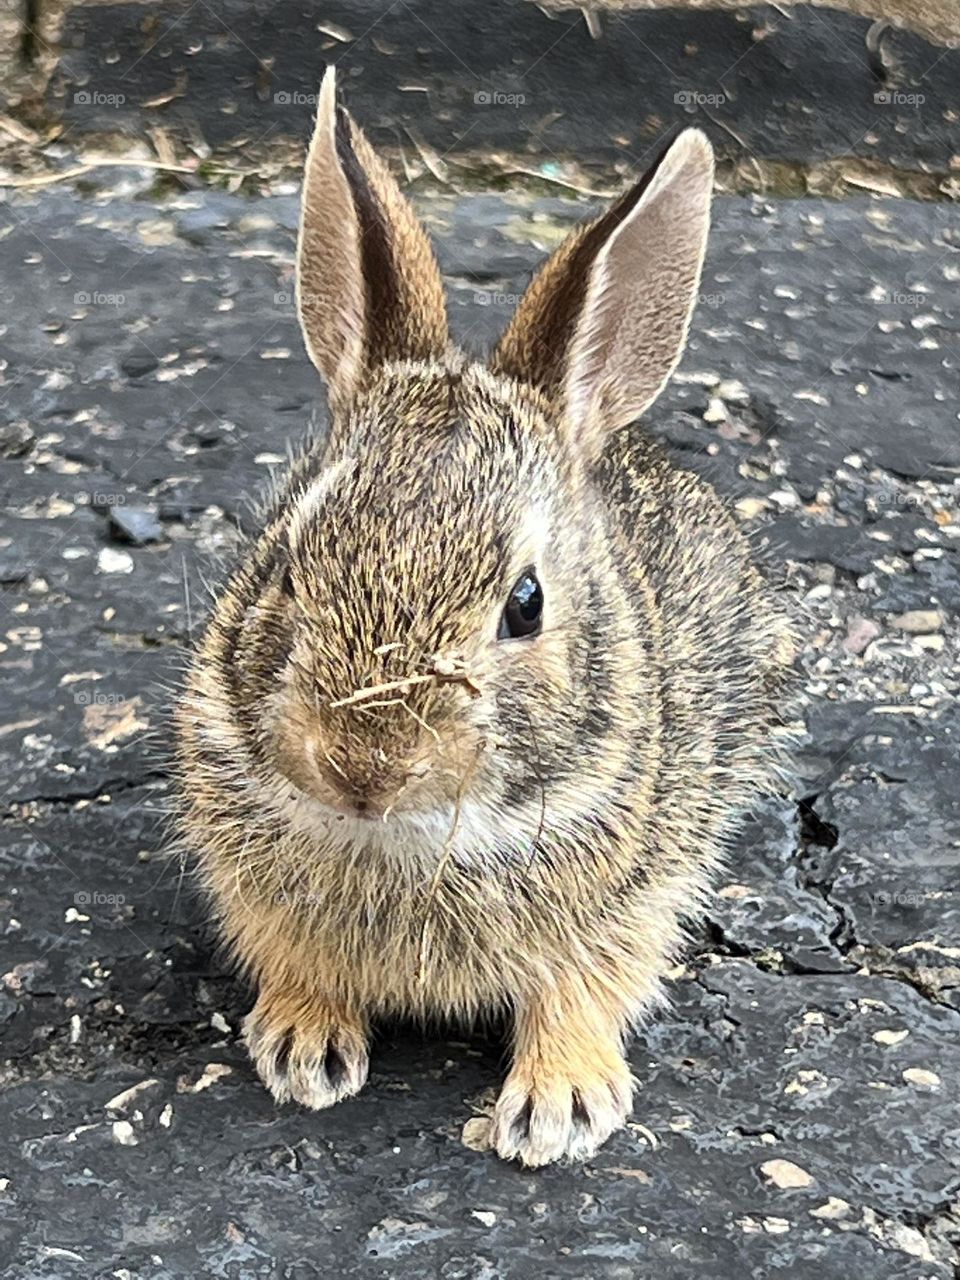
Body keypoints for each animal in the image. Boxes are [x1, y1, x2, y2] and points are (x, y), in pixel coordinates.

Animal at [176, 70, 793, 1172]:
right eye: (287, 566)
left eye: (526, 603)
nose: (364, 765)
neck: (411, 835)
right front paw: (301, 1042)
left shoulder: (633, 889)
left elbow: (582, 988)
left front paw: (559, 1106)